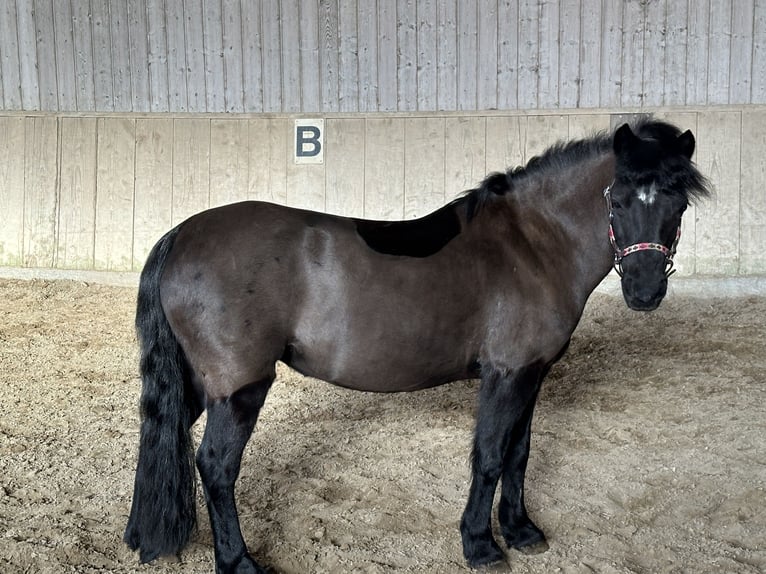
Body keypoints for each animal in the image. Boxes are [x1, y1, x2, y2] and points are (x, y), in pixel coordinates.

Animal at [124, 118, 710, 572]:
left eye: (678, 202)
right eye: (618, 197)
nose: (644, 291)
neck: (531, 246)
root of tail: (181, 234)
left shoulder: (533, 374)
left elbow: (518, 453)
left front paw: (521, 531)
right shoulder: (506, 375)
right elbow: (490, 456)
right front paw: (481, 545)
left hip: (199, 383)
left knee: (164, 435)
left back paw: (143, 535)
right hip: (240, 388)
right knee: (216, 465)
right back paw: (236, 560)